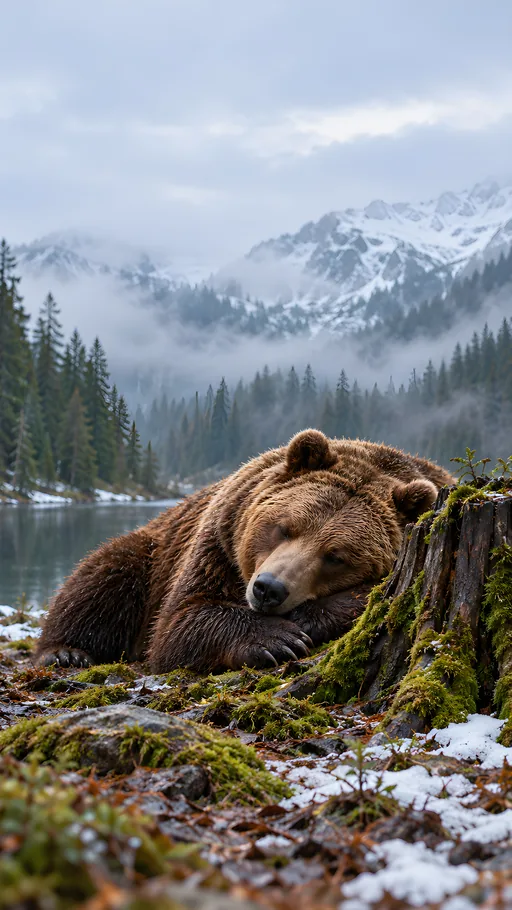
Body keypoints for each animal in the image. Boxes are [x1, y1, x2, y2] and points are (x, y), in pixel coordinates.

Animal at [35, 430, 453, 673]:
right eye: (284, 527)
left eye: (335, 556)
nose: (268, 588)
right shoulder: (218, 544)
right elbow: (181, 619)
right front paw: (276, 640)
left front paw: (304, 621)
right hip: (154, 550)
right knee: (104, 577)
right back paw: (66, 651)